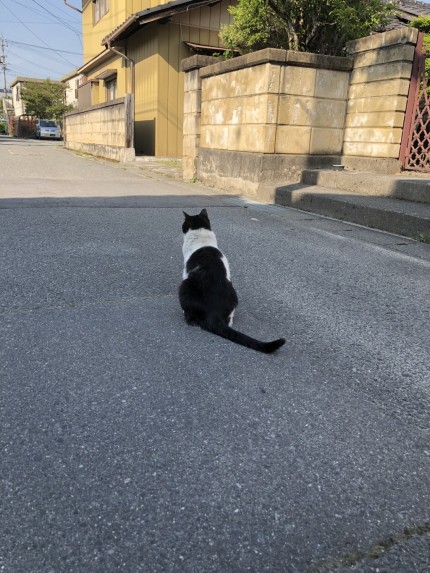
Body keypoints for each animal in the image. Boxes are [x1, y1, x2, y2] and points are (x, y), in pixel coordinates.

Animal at [179, 209, 285, 354]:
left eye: (184, 224)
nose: (182, 227)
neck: (202, 239)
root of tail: (213, 313)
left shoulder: (185, 271)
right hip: (233, 292)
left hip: (184, 286)